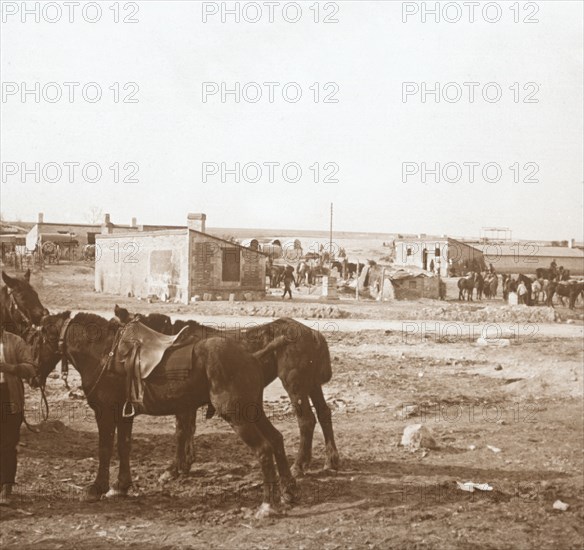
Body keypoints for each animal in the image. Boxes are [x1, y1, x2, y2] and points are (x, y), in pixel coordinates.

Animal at [34, 312, 298, 520]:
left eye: (34, 338)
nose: (32, 374)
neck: (105, 354)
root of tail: (251, 355)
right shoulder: (125, 415)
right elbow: (124, 447)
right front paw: (121, 486)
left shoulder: (105, 412)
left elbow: (105, 449)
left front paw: (97, 488)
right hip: (252, 411)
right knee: (276, 440)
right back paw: (288, 491)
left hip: (237, 416)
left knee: (264, 449)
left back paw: (268, 505)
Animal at [114, 308, 340, 480]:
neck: (167, 348)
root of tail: (313, 333)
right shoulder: (187, 403)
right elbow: (188, 430)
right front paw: (185, 464)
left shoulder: (182, 404)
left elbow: (181, 432)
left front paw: (174, 469)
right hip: (312, 385)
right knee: (324, 414)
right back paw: (331, 460)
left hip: (295, 385)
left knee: (306, 420)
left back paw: (300, 465)